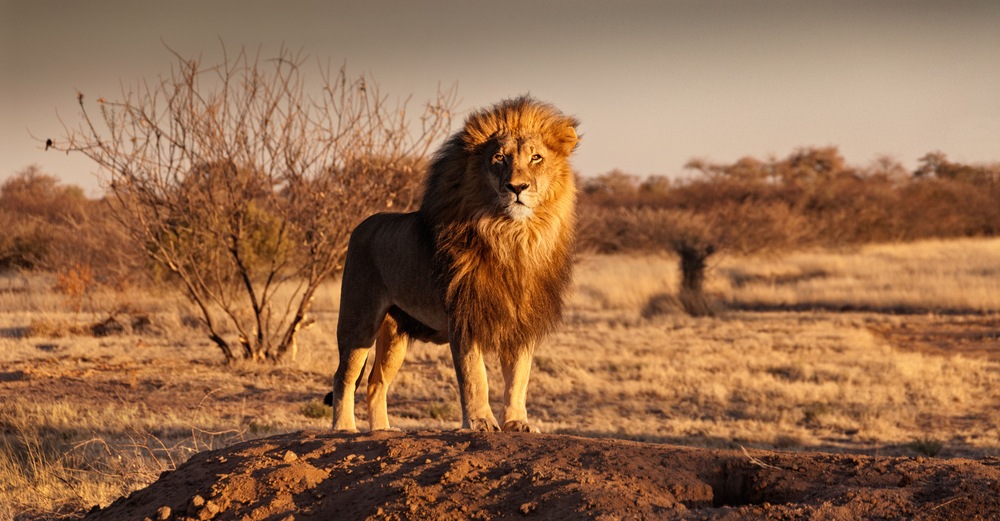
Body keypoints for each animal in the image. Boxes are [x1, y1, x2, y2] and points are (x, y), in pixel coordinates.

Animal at [329, 96, 579, 433]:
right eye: (499, 158)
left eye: (536, 157)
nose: (517, 187)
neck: (513, 237)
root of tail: (361, 225)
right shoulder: (464, 316)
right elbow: (475, 376)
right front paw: (480, 421)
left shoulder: (521, 320)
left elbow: (519, 377)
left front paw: (517, 422)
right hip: (359, 320)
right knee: (344, 376)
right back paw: (344, 428)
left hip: (395, 334)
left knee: (375, 382)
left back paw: (382, 430)